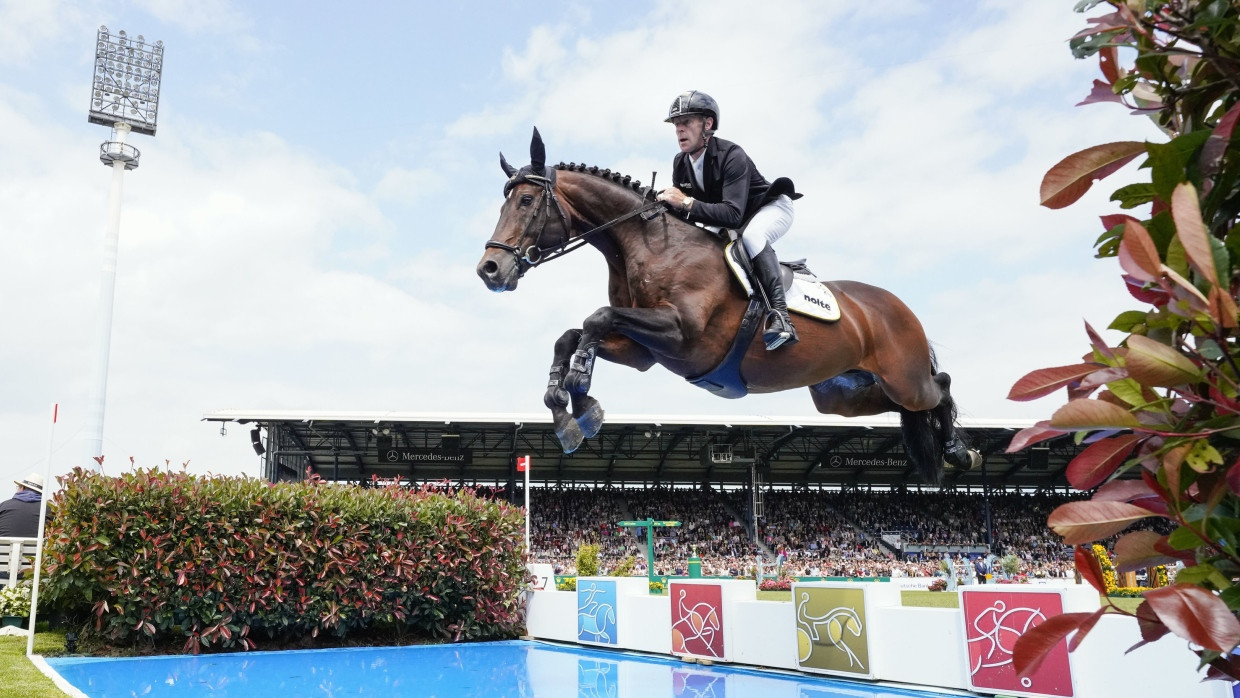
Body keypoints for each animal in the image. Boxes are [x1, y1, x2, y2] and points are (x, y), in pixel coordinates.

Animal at [473, 128, 977, 483]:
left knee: (939, 385)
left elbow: (594, 319)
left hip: (903, 377)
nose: (490, 270)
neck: (648, 244)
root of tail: (899, 307)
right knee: (907, 405)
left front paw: (580, 392)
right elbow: (572, 335)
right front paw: (569, 413)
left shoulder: (682, 333)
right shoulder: (645, 351)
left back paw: (959, 450)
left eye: (525, 200)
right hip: (841, 395)